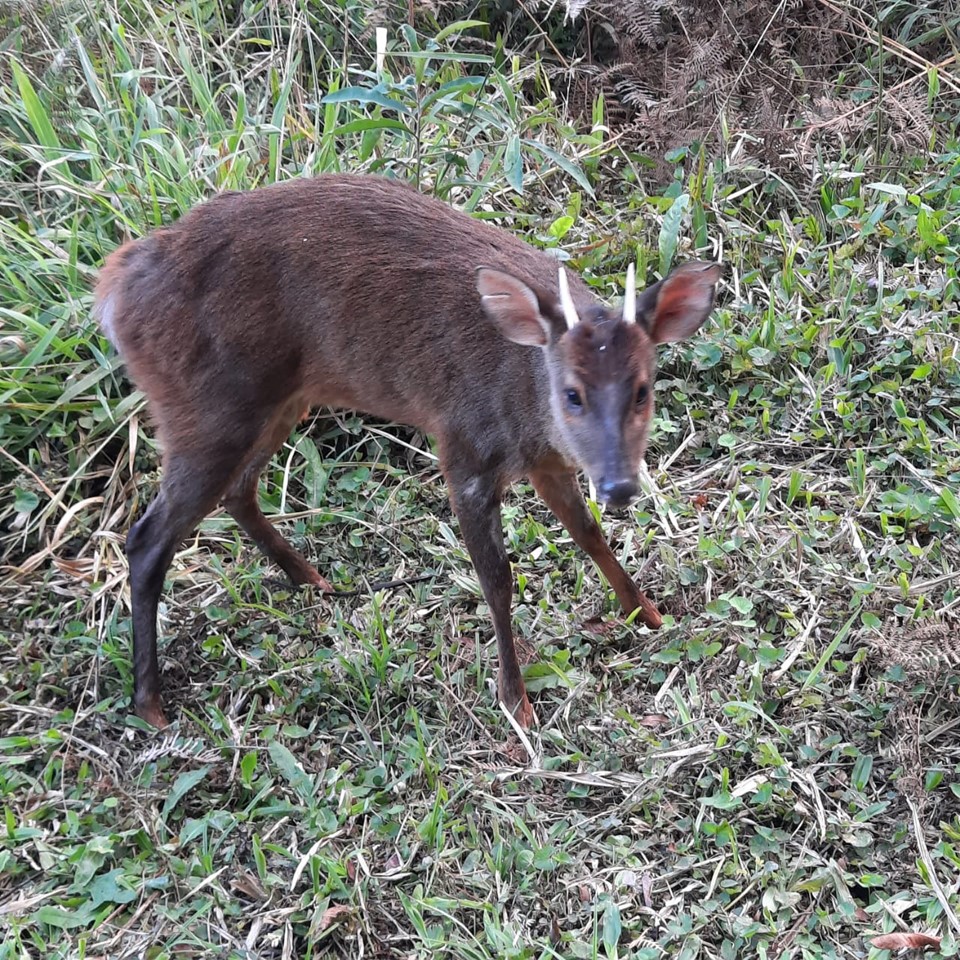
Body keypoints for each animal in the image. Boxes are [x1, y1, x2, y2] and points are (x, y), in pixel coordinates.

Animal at [95, 172, 720, 728]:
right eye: (572, 393)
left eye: (642, 389)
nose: (620, 484)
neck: (523, 391)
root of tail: (113, 291)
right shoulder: (465, 448)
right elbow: (497, 579)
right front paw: (515, 703)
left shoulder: (545, 462)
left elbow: (588, 533)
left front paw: (648, 613)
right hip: (203, 408)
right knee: (148, 537)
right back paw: (150, 705)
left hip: (276, 399)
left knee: (239, 491)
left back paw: (315, 581)